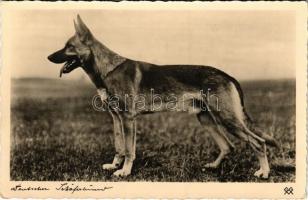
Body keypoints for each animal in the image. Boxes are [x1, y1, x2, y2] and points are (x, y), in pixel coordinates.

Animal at [48, 15, 280, 178]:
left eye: (69, 47)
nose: (49, 57)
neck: (108, 70)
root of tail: (227, 75)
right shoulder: (116, 118)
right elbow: (119, 146)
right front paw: (115, 165)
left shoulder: (128, 119)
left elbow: (129, 150)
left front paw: (124, 171)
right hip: (206, 119)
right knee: (228, 146)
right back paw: (213, 166)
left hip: (228, 119)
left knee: (258, 142)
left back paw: (264, 172)